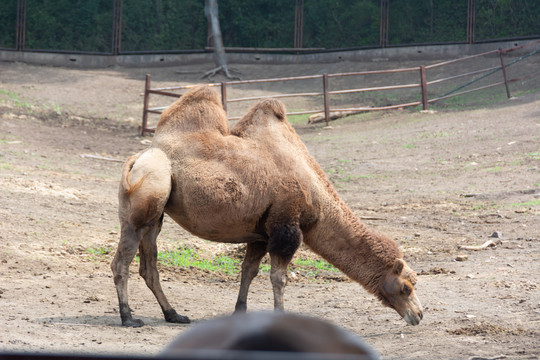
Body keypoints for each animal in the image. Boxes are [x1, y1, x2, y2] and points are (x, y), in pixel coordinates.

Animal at [109, 86, 422, 328]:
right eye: (406, 286)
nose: (418, 315)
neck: (317, 198)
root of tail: (137, 158)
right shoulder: (286, 227)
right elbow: (278, 278)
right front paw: (280, 317)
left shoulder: (260, 233)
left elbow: (249, 271)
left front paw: (240, 312)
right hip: (144, 202)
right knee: (122, 261)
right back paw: (128, 318)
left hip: (156, 216)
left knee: (149, 266)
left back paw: (173, 314)